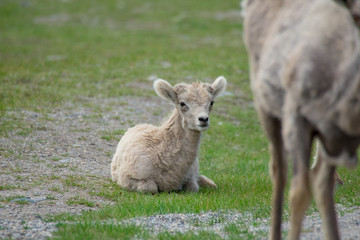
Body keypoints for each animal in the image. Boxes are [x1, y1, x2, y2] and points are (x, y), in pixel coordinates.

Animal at [243, 0, 358, 240]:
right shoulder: (298, 120)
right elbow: (300, 192)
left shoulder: (332, 138)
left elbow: (322, 187)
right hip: (266, 108)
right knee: (278, 171)